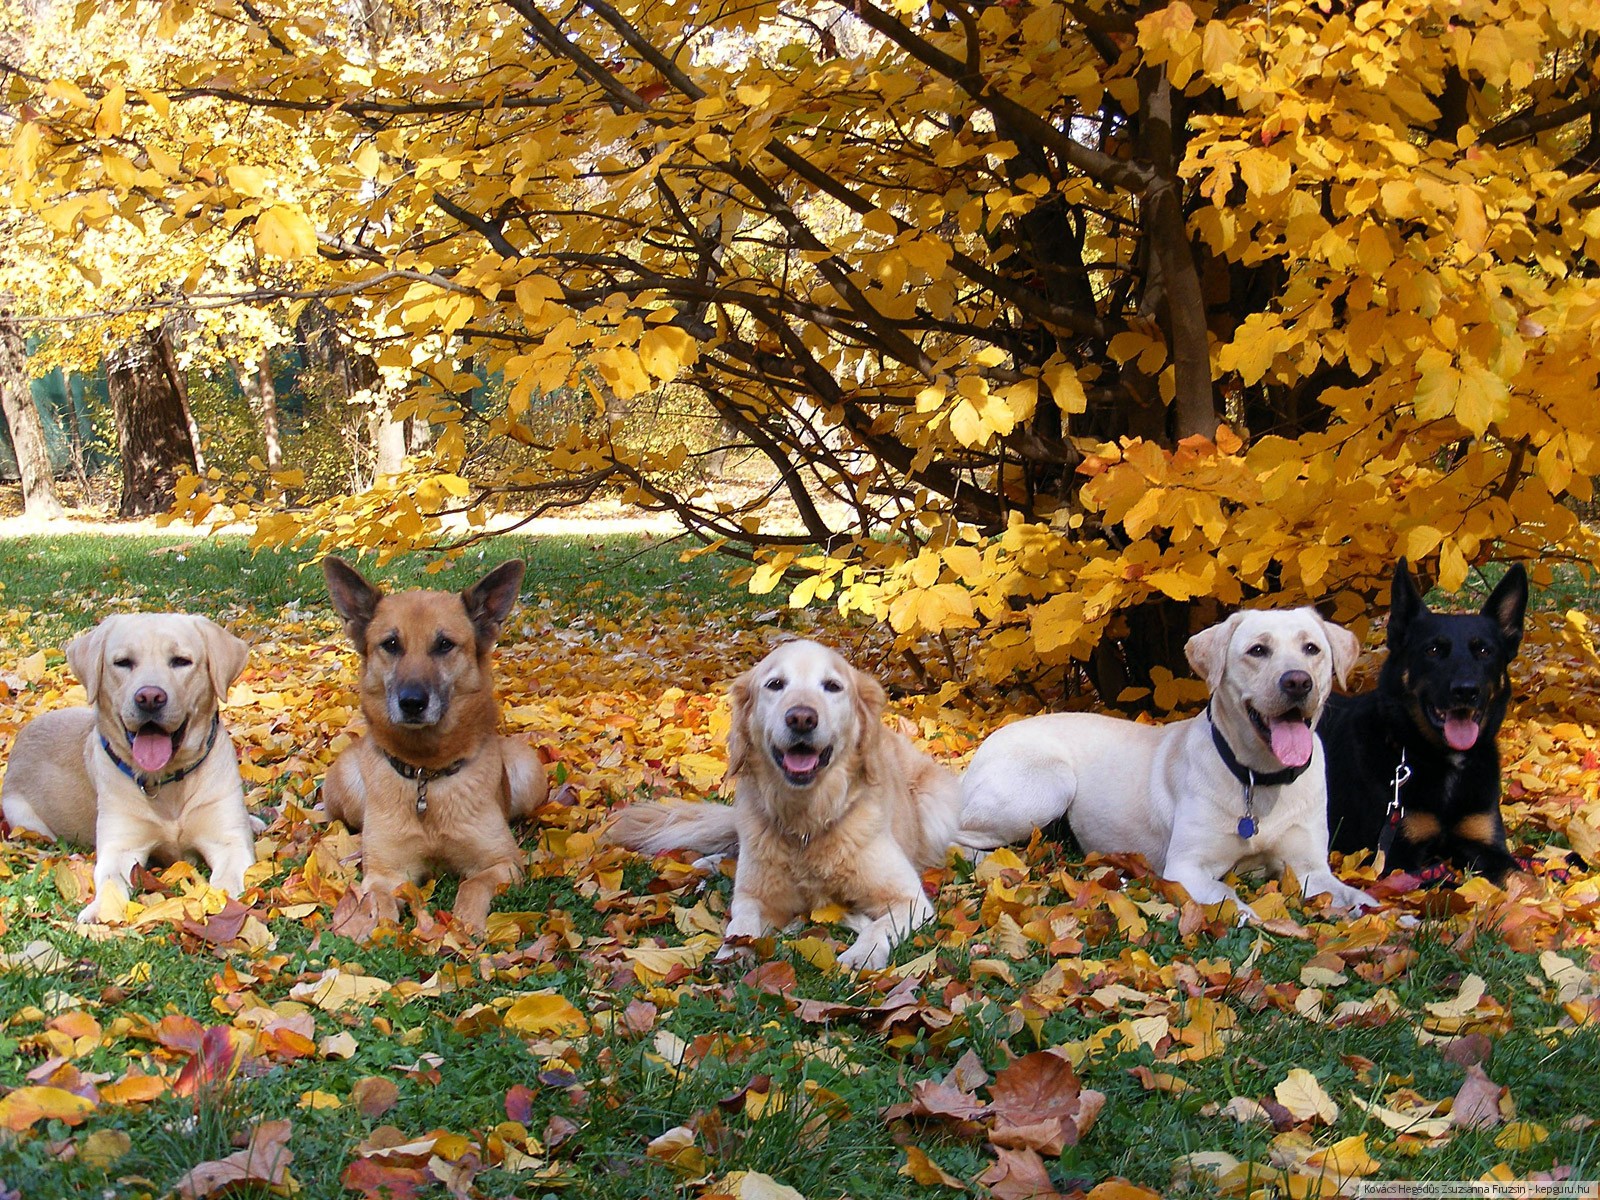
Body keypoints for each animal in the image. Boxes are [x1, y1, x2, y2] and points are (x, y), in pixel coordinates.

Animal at [2, 614, 256, 928]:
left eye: (181, 661)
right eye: (123, 662)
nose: (149, 697)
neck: (165, 782)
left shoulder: (229, 840)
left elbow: (227, 879)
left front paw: (221, 901)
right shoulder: (121, 846)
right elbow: (110, 879)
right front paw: (101, 910)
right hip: (20, 815)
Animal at [321, 560, 553, 934]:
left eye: (444, 644)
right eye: (391, 644)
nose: (412, 702)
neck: (426, 774)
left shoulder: (503, 863)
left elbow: (472, 885)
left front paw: (465, 925)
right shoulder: (386, 874)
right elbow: (379, 899)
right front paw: (378, 926)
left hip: (528, 773)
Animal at [604, 643, 953, 972]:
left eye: (832, 686)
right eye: (775, 684)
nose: (801, 718)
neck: (806, 821)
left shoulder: (910, 899)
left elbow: (879, 926)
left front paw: (862, 954)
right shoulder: (755, 897)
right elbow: (741, 921)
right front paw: (733, 951)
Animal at [1318, 563, 1529, 883]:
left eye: (1484, 651)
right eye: (1433, 650)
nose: (1466, 691)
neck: (1440, 760)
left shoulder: (1487, 845)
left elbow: (1522, 878)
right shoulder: (1395, 859)